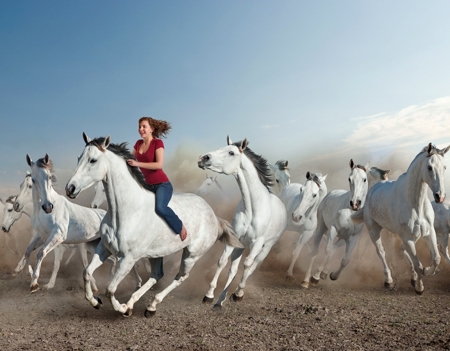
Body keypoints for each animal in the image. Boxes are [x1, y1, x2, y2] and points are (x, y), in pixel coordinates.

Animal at [14, 155, 106, 292]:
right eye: (33, 181)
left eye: (49, 177)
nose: (48, 207)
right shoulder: (42, 236)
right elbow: (28, 251)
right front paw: (29, 273)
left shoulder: (58, 236)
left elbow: (41, 253)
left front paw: (34, 283)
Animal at [64, 133, 243, 318]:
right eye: (79, 157)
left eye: (92, 160)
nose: (70, 188)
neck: (126, 212)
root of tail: (213, 215)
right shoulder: (104, 249)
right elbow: (86, 273)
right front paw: (95, 302)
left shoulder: (129, 258)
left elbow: (110, 289)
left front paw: (121, 308)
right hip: (157, 254)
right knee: (157, 275)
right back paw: (139, 305)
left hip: (192, 254)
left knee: (180, 277)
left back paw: (153, 305)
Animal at [198, 137, 288, 308]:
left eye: (231, 152)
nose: (203, 158)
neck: (252, 209)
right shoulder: (234, 240)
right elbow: (222, 262)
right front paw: (209, 295)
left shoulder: (257, 244)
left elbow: (247, 265)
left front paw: (238, 294)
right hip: (241, 246)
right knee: (233, 269)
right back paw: (222, 297)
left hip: (267, 246)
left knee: (254, 265)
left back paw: (237, 292)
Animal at [300, 160, 388, 288]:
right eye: (349, 178)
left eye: (364, 179)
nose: (355, 203)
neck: (351, 213)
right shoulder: (333, 229)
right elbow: (327, 250)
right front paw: (315, 277)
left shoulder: (353, 237)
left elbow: (345, 260)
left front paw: (333, 275)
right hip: (321, 228)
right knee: (315, 252)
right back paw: (306, 280)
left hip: (343, 238)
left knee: (334, 249)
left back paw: (324, 273)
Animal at [354, 144, 448, 296]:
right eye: (429, 167)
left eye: (444, 167)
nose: (440, 196)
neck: (415, 204)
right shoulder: (408, 238)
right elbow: (417, 263)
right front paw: (419, 287)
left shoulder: (429, 233)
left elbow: (436, 259)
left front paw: (426, 271)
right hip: (374, 231)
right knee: (381, 252)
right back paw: (388, 280)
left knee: (401, 250)